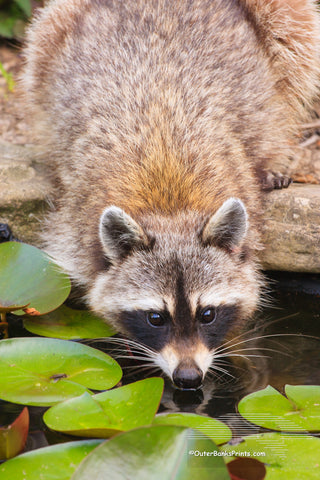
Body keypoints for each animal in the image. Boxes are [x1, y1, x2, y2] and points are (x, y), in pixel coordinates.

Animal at [22, 0, 320, 390]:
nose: (189, 377)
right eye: (155, 318)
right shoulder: (72, 227)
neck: (169, 205)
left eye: (207, 314)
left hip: (281, 23)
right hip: (53, 32)